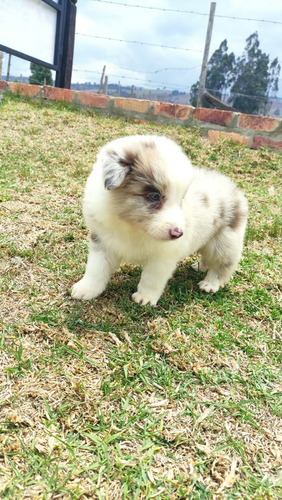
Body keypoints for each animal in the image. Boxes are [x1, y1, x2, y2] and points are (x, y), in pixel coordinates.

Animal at [71, 136, 248, 304]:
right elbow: (96, 269)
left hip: (224, 241)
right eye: (154, 196)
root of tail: (234, 188)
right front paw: (85, 290)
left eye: (181, 200)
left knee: (223, 264)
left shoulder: (163, 256)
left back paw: (210, 284)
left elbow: (151, 279)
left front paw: (145, 298)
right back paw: (200, 266)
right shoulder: (102, 241)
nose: (178, 234)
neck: (132, 226)